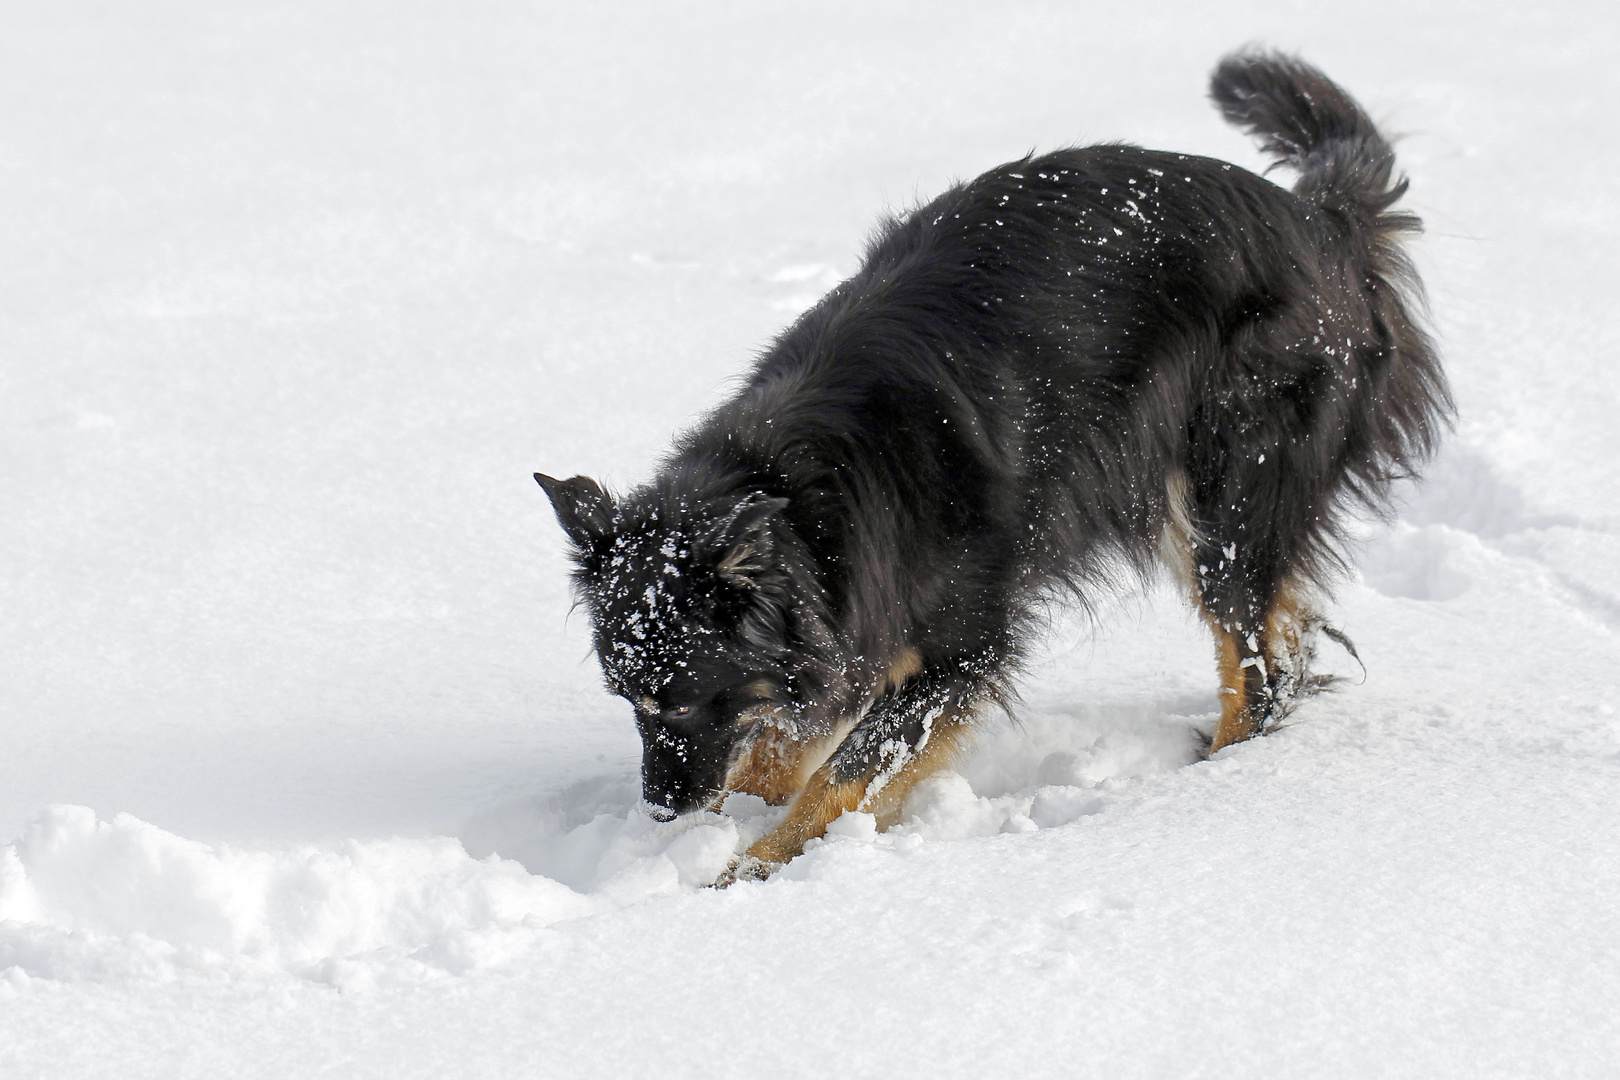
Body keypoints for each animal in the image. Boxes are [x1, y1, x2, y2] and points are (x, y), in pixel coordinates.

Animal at [537, 50, 1451, 880]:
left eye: (682, 700)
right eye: (625, 700)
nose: (662, 810)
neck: (801, 488)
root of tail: (1321, 226)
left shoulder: (962, 643)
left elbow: (848, 769)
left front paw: (753, 867)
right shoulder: (849, 616)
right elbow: (787, 738)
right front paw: (737, 828)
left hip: (1228, 487)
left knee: (1257, 662)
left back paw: (1213, 780)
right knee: (1284, 647)